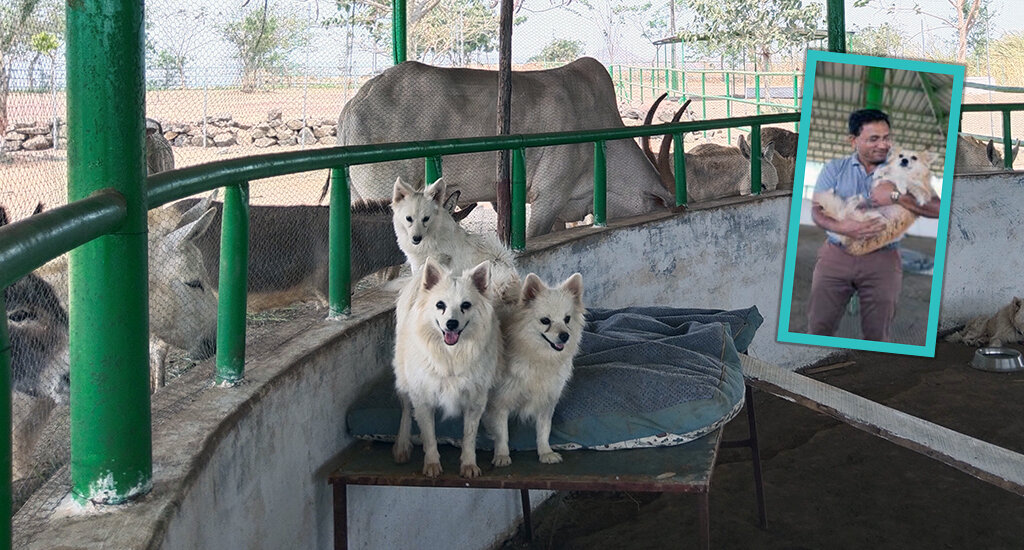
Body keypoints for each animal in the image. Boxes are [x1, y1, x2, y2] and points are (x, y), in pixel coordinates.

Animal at [389, 257, 501, 475]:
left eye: (466, 305)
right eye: (440, 305)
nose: (451, 323)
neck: (451, 355)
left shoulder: (475, 399)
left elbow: (469, 437)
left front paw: (469, 464)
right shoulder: (423, 398)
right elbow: (430, 436)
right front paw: (432, 464)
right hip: (404, 379)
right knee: (405, 409)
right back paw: (402, 446)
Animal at [485, 272, 585, 464]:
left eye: (567, 319)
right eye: (545, 321)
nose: (565, 335)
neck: (539, 356)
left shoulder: (546, 401)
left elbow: (544, 430)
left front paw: (545, 452)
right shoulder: (499, 402)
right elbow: (502, 433)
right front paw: (502, 455)